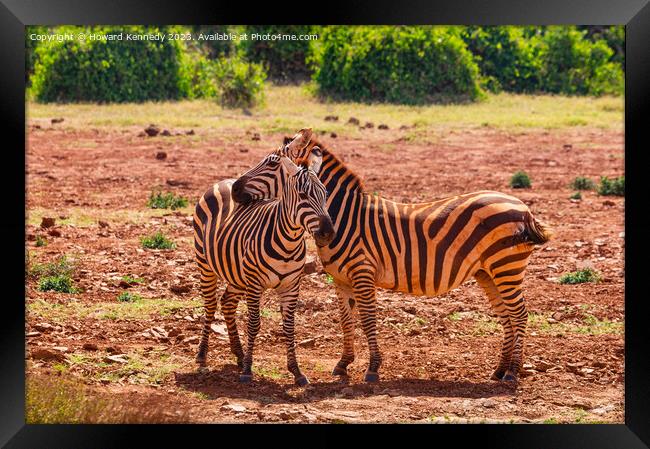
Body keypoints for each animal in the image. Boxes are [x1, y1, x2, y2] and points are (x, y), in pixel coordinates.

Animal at [191, 134, 334, 384]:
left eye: (326, 195)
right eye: (303, 196)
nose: (327, 233)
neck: (288, 242)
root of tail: (223, 181)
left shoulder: (291, 286)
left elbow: (289, 326)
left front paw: (296, 371)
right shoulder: (255, 284)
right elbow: (254, 323)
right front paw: (248, 370)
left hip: (237, 275)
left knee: (227, 303)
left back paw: (238, 354)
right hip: (206, 266)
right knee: (210, 305)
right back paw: (202, 355)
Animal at [230, 131, 548, 384]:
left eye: (271, 163)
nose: (233, 189)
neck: (346, 217)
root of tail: (522, 206)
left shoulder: (362, 272)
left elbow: (369, 318)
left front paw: (372, 369)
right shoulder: (341, 279)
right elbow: (346, 320)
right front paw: (343, 365)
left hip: (506, 267)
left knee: (519, 314)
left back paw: (512, 372)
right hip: (488, 272)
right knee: (507, 316)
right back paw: (499, 370)